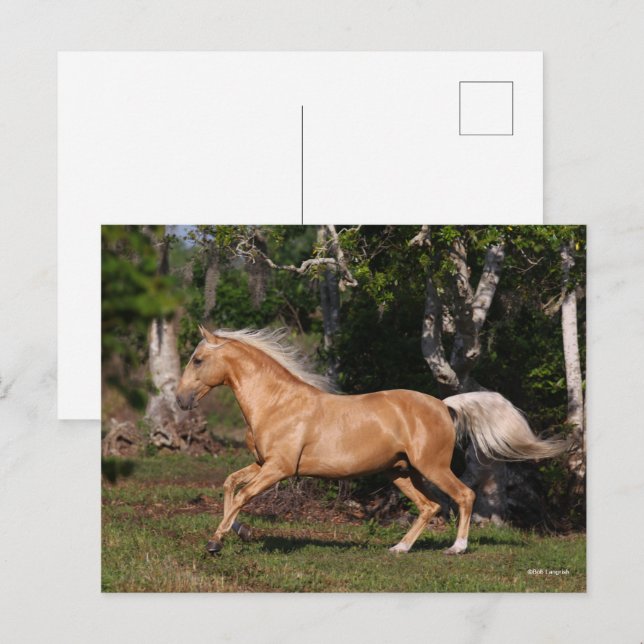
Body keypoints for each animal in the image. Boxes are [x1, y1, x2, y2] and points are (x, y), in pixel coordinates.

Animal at [176, 326, 568, 556]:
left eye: (197, 360)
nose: (180, 401)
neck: (277, 403)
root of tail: (444, 405)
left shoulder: (278, 469)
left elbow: (243, 494)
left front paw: (215, 542)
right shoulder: (261, 463)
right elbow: (231, 485)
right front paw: (235, 530)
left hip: (432, 467)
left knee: (464, 496)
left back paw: (456, 548)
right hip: (401, 472)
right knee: (430, 506)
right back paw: (399, 548)